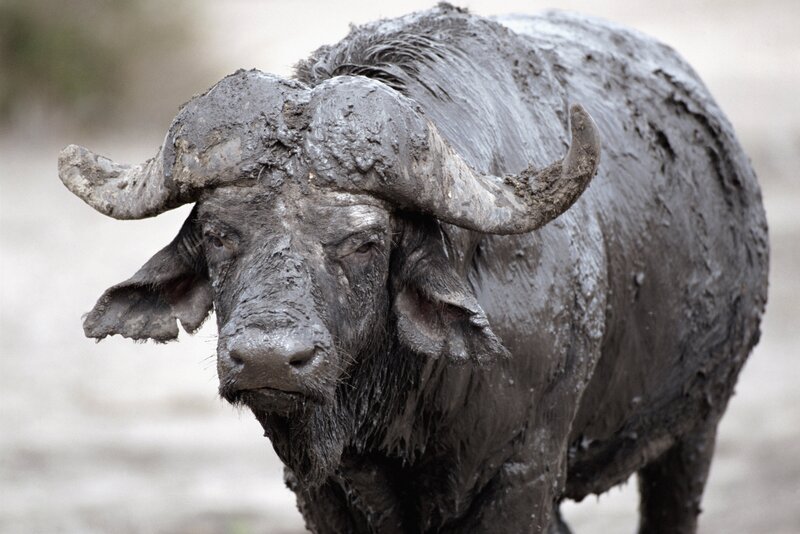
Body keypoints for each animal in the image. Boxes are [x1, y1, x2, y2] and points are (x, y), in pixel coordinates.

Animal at [59, 5, 768, 533]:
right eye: (216, 233)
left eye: (366, 241)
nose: (267, 360)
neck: (402, 407)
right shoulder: (322, 491)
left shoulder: (525, 475)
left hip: (697, 425)